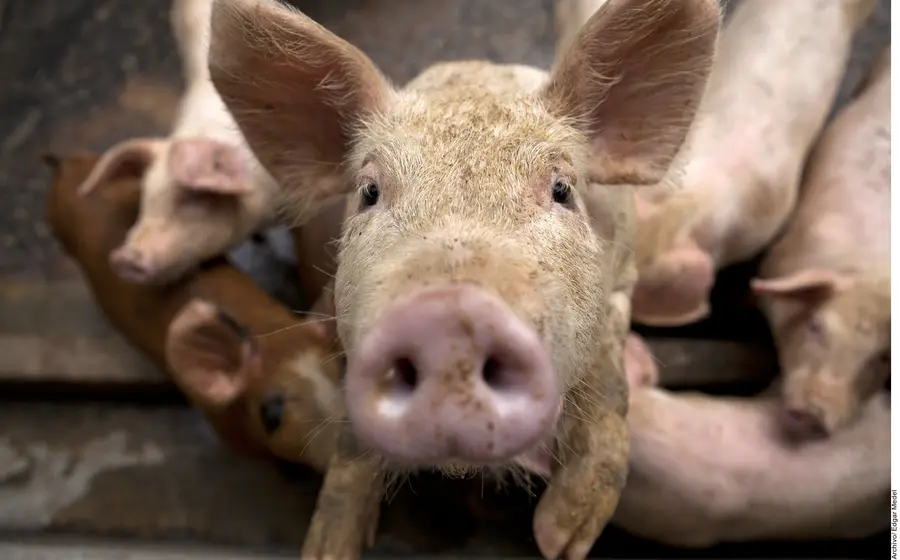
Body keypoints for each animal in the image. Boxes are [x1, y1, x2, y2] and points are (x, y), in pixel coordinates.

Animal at [207, 0, 720, 558]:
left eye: (562, 189)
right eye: (369, 192)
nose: (448, 318)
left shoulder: (622, 283)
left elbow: (609, 386)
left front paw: (559, 537)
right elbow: (351, 445)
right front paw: (327, 548)